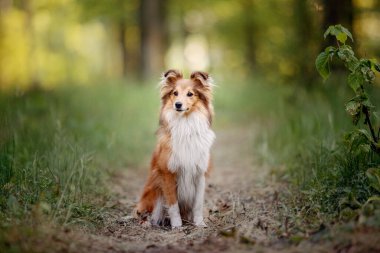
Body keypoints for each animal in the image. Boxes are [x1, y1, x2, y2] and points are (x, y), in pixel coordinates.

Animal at [135, 69, 215, 229]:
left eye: (190, 94)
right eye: (175, 93)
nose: (178, 105)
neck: (186, 124)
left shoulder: (200, 173)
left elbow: (198, 204)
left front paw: (199, 223)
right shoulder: (167, 174)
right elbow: (173, 204)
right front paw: (177, 226)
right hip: (153, 192)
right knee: (145, 212)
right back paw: (148, 222)